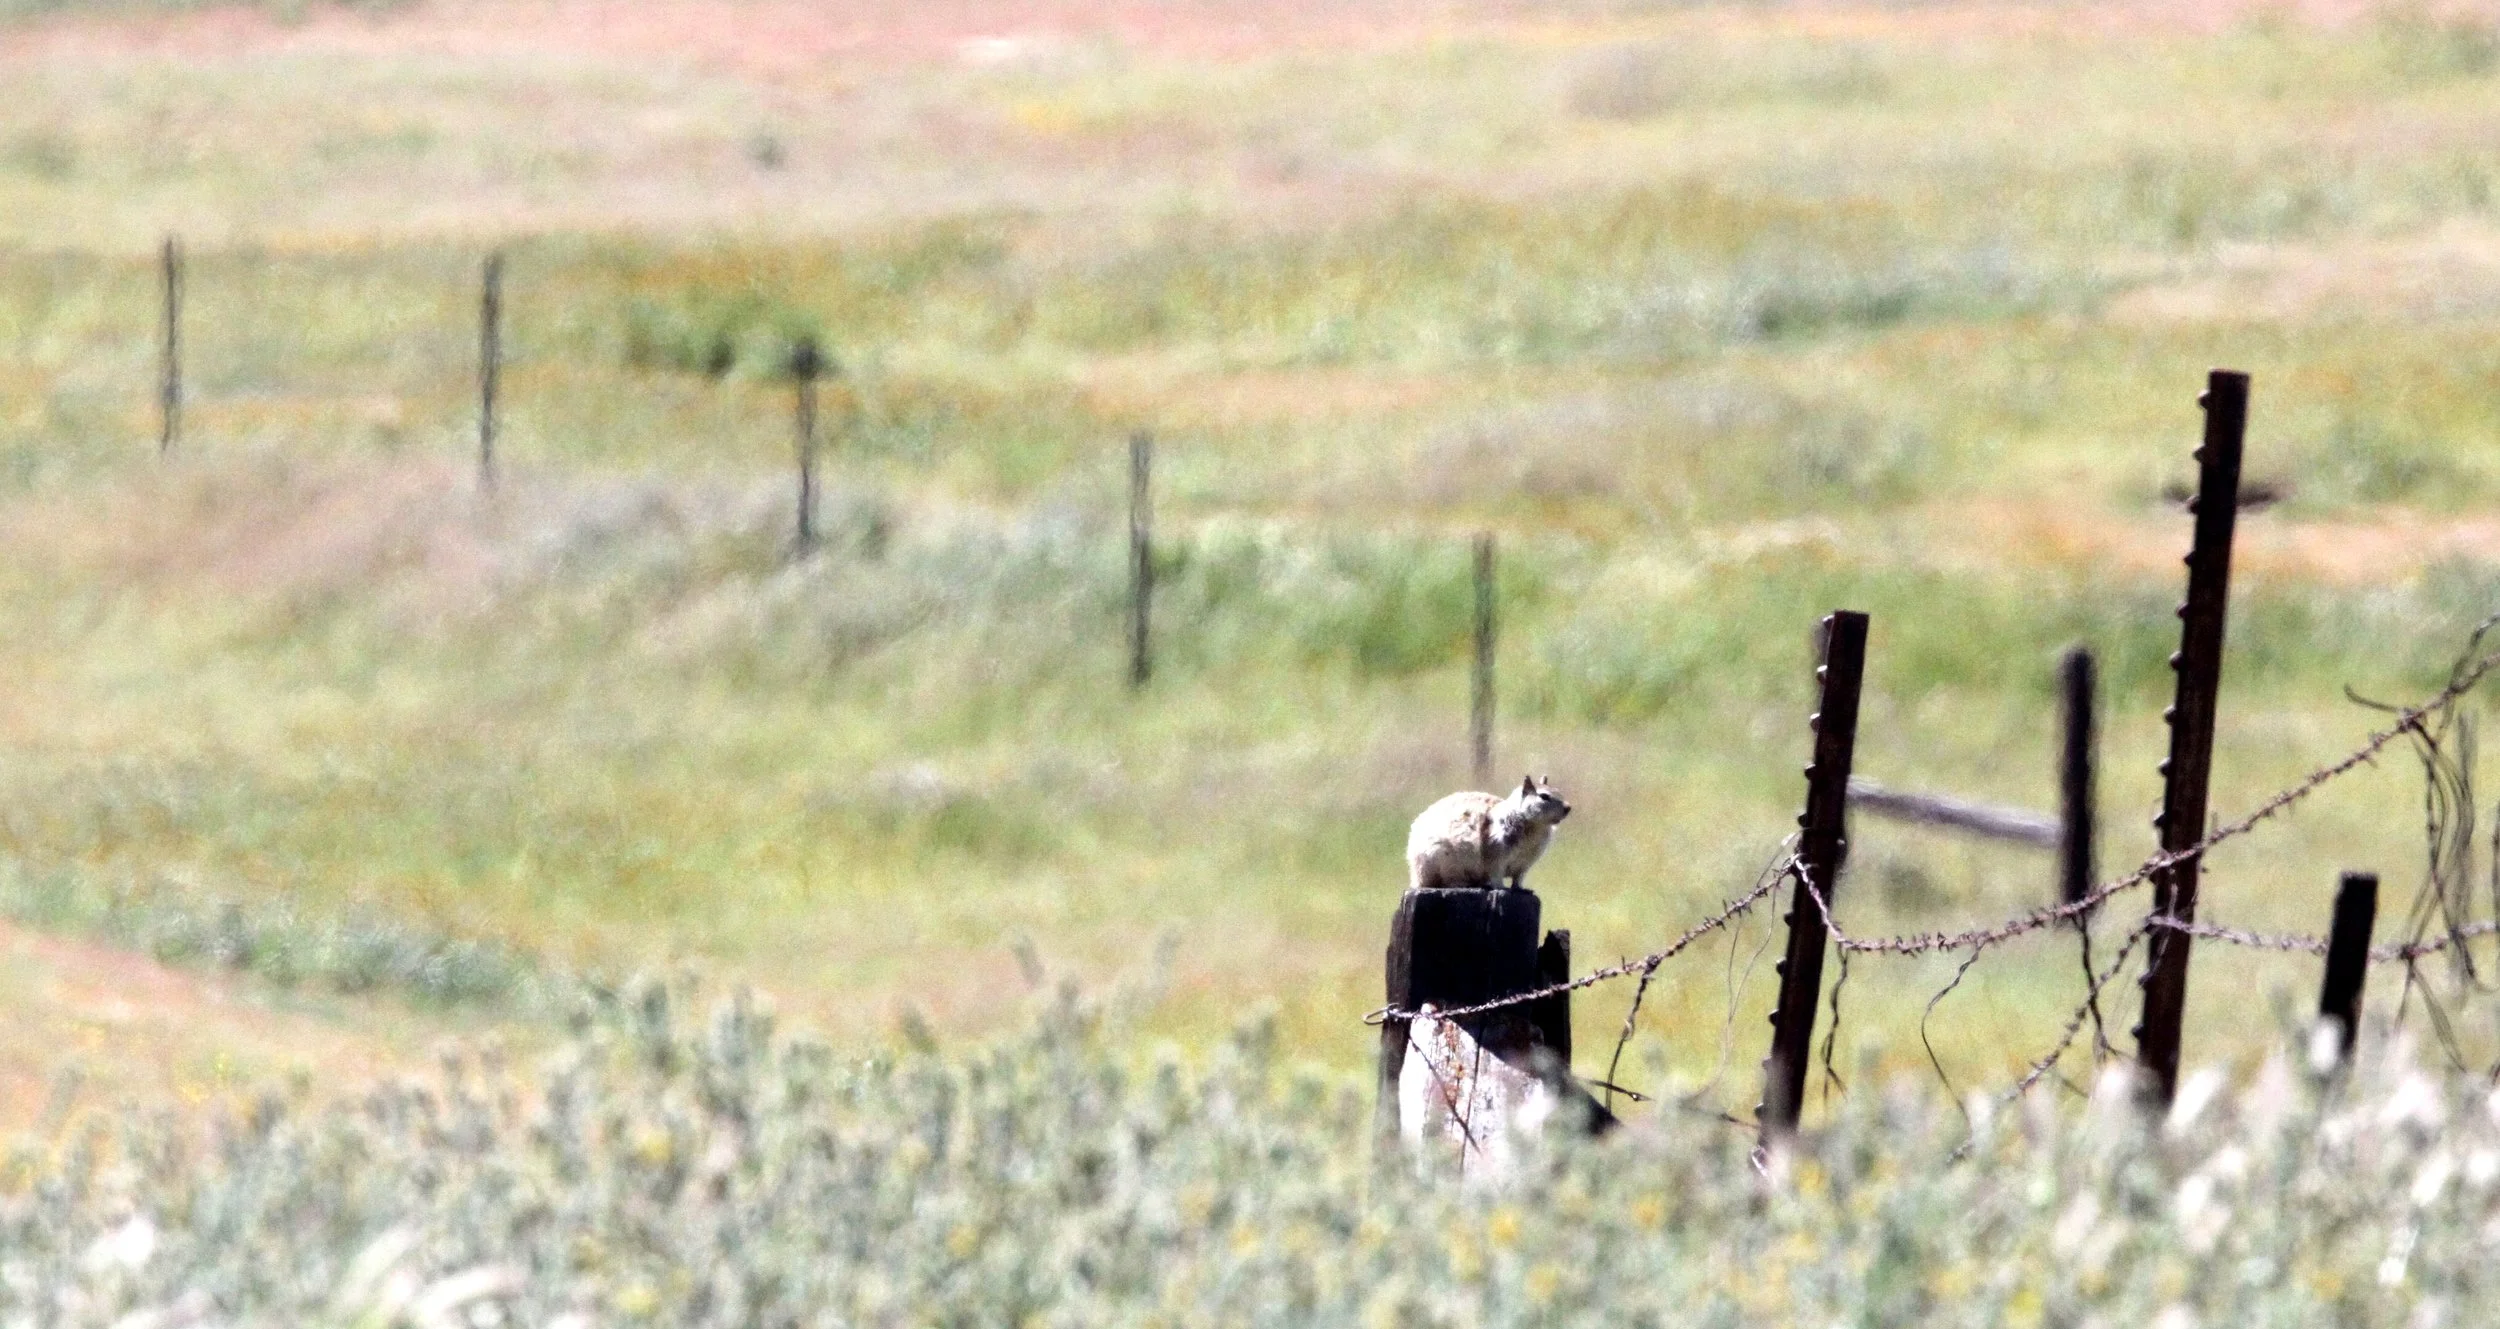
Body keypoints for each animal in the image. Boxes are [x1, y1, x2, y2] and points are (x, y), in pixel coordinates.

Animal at [1404, 775, 1572, 892]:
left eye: (1559, 792)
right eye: (1544, 796)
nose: (1568, 808)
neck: (1535, 827)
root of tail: (1416, 876)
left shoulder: (1525, 864)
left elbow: (1518, 878)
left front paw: (1521, 889)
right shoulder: (1496, 854)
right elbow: (1496, 874)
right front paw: (1501, 887)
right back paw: (1462, 884)